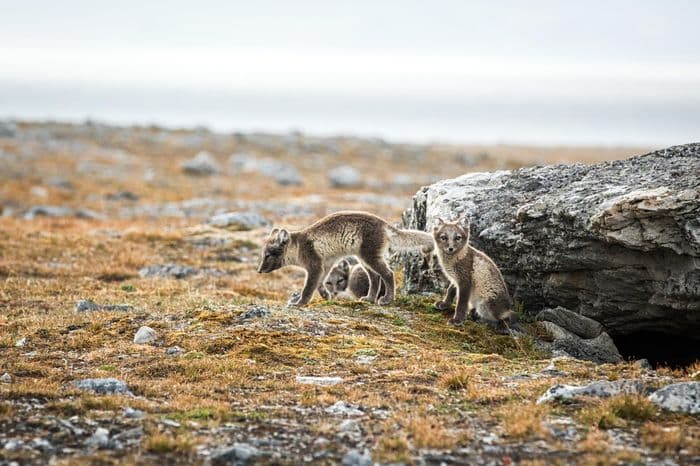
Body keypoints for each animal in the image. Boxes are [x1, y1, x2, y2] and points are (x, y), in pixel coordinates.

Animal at [257, 211, 433, 306]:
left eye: (267, 255)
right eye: (263, 255)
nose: (259, 271)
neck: (299, 246)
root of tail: (384, 224)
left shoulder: (314, 266)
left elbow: (308, 288)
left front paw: (299, 303)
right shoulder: (326, 264)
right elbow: (320, 283)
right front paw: (326, 296)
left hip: (369, 257)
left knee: (388, 274)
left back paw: (386, 299)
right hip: (363, 259)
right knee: (375, 277)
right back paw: (369, 298)